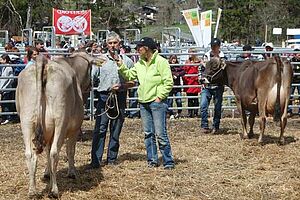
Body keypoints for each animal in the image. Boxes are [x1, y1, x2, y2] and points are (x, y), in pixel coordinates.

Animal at [16, 52, 106, 198]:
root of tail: (45, 62)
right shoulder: (74, 130)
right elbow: (70, 151)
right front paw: (72, 172)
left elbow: (47, 153)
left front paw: (46, 173)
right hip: (60, 121)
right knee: (54, 153)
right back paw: (54, 190)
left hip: (27, 122)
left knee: (30, 154)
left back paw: (32, 191)